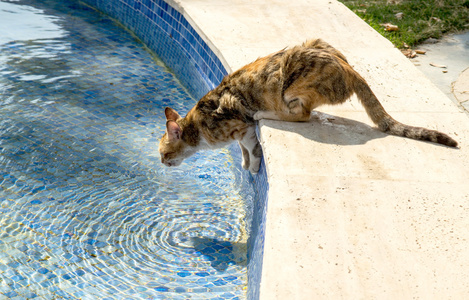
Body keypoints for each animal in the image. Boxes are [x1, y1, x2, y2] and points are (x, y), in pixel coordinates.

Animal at [158, 38, 458, 173]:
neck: (198, 127)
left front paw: (253, 167)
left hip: (291, 83)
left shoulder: (241, 127)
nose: (161, 163)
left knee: (302, 115)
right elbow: (243, 149)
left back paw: (266, 112)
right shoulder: (239, 133)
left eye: (162, 153)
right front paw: (244, 163)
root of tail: (350, 69)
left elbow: (251, 148)